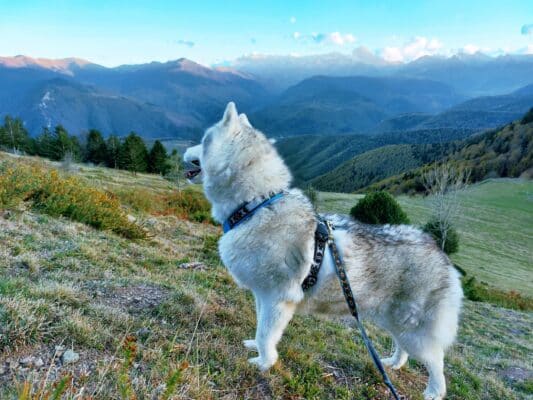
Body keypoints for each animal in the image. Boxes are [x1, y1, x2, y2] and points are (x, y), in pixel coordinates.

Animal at [183, 101, 462, 398]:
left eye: (203, 140)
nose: (184, 152)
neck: (256, 204)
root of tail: (442, 255)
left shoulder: (277, 299)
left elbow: (265, 334)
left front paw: (264, 364)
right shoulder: (262, 296)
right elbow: (260, 329)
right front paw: (257, 350)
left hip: (416, 331)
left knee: (436, 361)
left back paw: (434, 391)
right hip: (396, 322)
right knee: (404, 348)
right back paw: (393, 363)